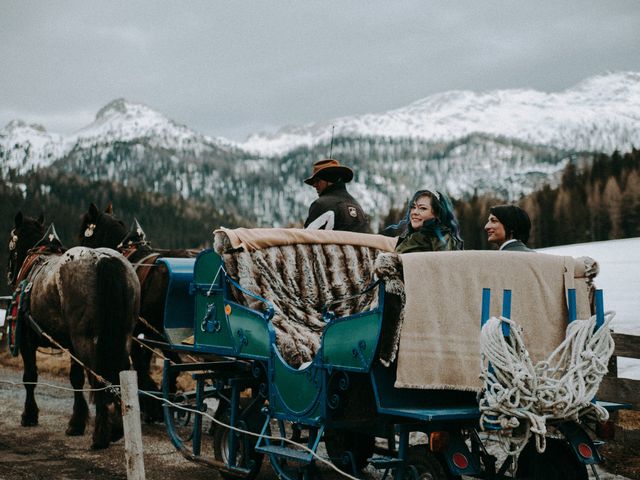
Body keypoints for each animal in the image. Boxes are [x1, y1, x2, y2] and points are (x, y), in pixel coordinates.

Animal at [7, 212, 140, 448]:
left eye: (11, 241)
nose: (8, 274)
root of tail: (103, 259)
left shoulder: (27, 341)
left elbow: (30, 377)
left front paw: (29, 415)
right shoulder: (70, 345)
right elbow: (75, 379)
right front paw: (76, 422)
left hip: (85, 340)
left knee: (98, 379)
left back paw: (100, 436)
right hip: (122, 338)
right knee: (120, 375)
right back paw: (117, 428)